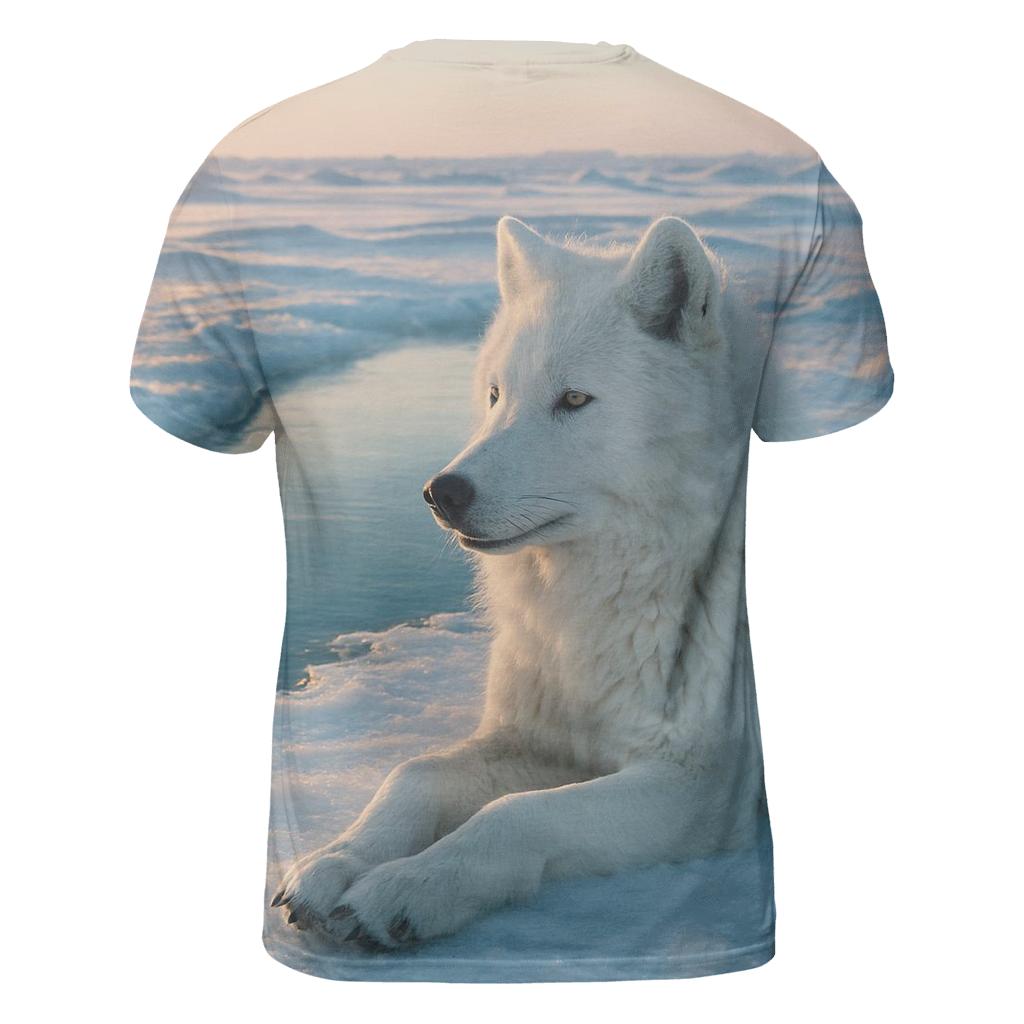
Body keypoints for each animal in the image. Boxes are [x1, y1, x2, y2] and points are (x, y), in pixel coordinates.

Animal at [274, 215, 762, 949]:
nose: (441, 493)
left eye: (575, 400)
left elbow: (515, 813)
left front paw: (407, 887)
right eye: (496, 395)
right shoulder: (535, 739)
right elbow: (413, 772)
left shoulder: (698, 786)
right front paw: (338, 858)